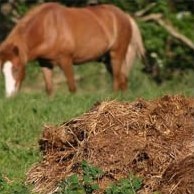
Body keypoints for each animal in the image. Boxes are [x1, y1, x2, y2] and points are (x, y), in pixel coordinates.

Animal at [0, 2, 144, 97]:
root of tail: (125, 16)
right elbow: (49, 89)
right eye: (2, 71)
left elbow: (72, 88)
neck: (47, 28)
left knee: (117, 80)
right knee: (123, 80)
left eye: (16, 69)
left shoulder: (66, 60)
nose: (10, 95)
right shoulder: (45, 63)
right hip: (107, 59)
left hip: (116, 54)